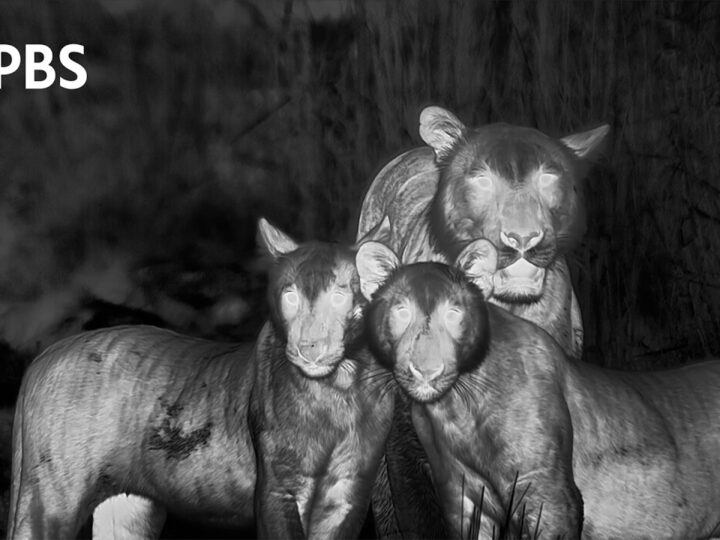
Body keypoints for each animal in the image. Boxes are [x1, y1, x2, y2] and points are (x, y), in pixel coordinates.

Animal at [6, 217, 393, 540]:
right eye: (290, 295)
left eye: (340, 295)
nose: (307, 345)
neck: (339, 390)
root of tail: (46, 355)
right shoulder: (278, 489)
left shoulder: (347, 494)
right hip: (50, 499)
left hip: (130, 510)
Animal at [357, 238, 720, 540]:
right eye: (402, 311)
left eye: (454, 313)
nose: (427, 370)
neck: (455, 412)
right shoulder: (463, 499)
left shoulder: (551, 496)